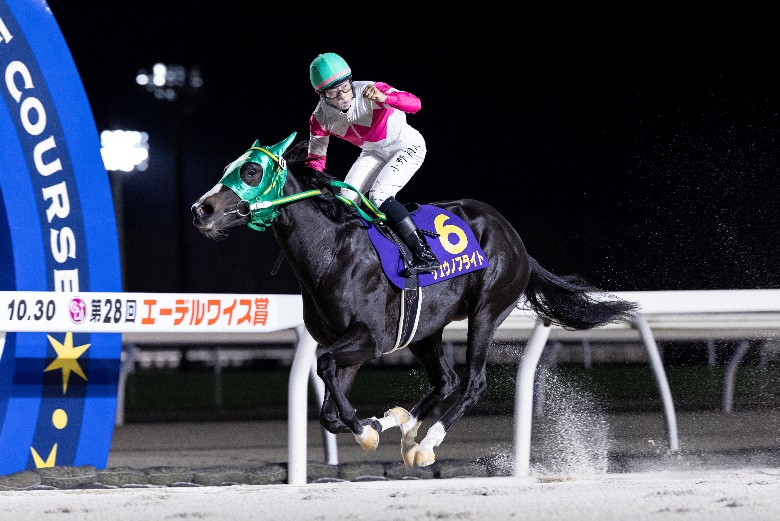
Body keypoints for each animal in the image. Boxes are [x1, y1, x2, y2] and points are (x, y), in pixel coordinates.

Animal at [190, 132, 639, 467]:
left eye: (251, 170)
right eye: (229, 168)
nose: (201, 209)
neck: (331, 250)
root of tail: (516, 242)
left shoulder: (370, 338)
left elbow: (326, 367)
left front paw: (366, 432)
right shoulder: (342, 340)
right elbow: (329, 410)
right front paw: (372, 426)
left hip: (487, 311)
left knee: (472, 383)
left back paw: (425, 445)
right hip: (426, 328)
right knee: (446, 380)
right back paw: (403, 425)